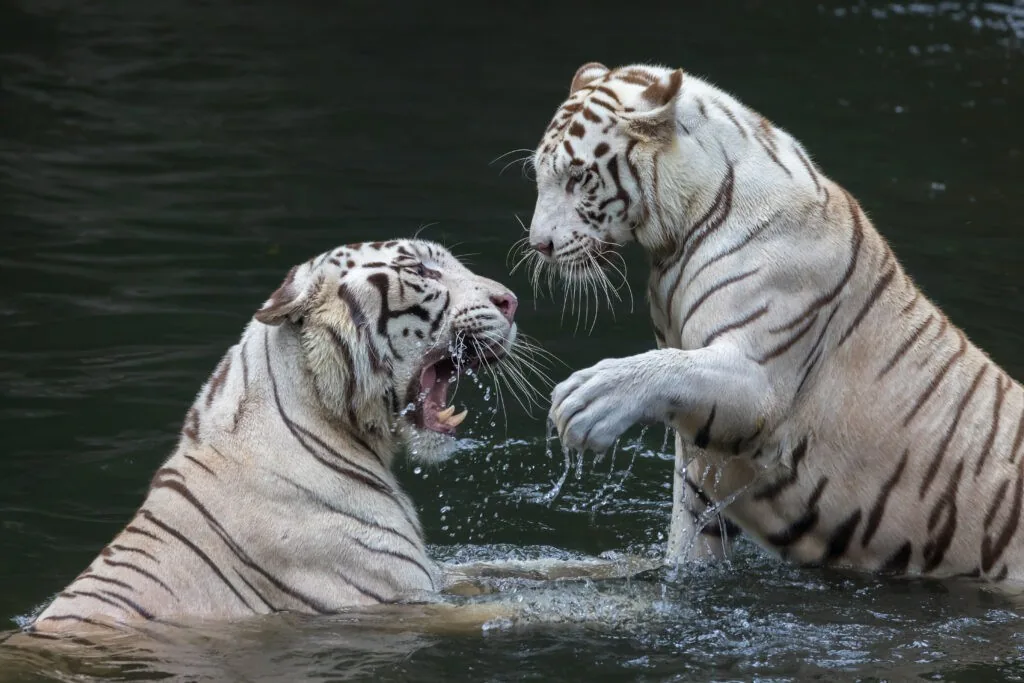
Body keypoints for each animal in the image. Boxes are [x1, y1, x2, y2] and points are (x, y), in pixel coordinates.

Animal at [525, 61, 1024, 584]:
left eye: (578, 177)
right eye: (540, 174)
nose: (538, 245)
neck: (678, 234)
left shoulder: (760, 380)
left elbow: (669, 368)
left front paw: (586, 402)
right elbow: (690, 532)